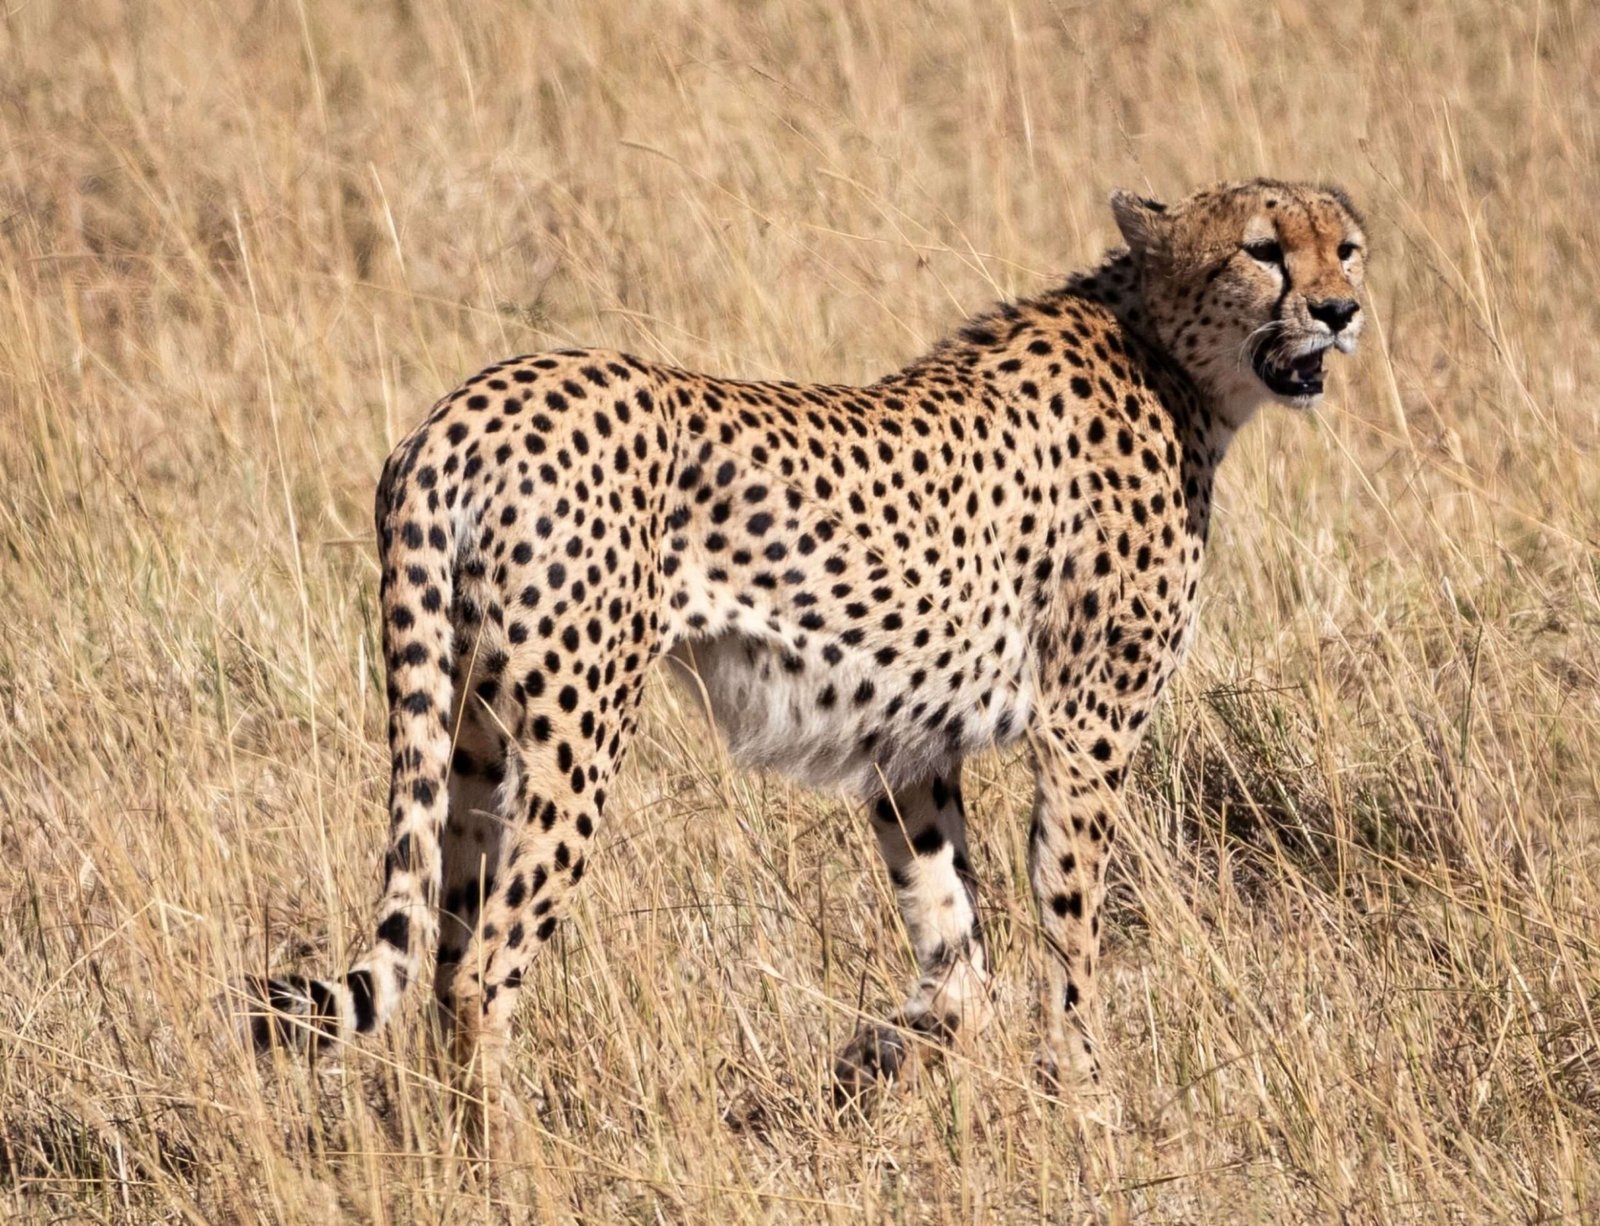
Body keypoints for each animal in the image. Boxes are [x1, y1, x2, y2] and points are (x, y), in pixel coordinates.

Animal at [236, 180, 1363, 1126]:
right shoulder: (1087, 730)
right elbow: (1070, 924)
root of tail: (461, 409)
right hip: (577, 727)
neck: (1168, 354)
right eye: (1264, 250)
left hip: (466, 726)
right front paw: (1086, 1097)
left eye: (1346, 246)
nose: (1341, 310)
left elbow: (955, 943)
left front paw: (883, 1053)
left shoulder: (908, 748)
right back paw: (518, 1155)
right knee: (483, 970)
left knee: (443, 950)